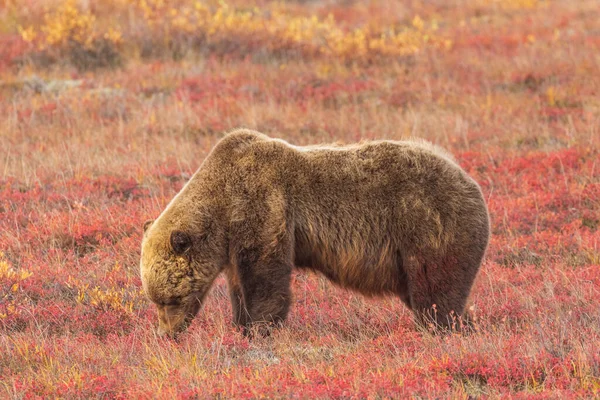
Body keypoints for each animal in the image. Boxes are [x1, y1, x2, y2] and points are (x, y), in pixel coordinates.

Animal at [139, 129, 488, 338]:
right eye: (155, 300)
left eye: (171, 298)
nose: (168, 334)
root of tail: (471, 182)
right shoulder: (234, 240)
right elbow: (239, 283)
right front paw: (241, 324)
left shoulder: (264, 205)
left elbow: (265, 277)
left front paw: (260, 327)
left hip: (430, 227)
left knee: (436, 293)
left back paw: (441, 328)